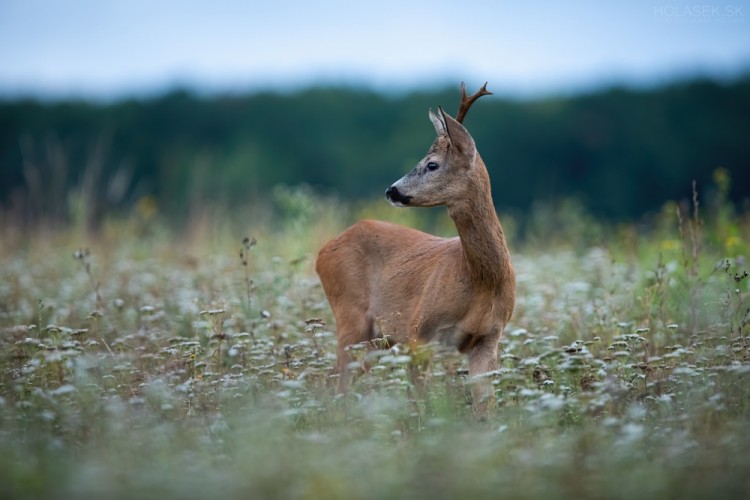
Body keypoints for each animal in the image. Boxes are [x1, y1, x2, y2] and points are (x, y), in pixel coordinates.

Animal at [318, 81, 516, 402]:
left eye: (432, 164)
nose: (391, 191)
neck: (480, 281)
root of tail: (322, 251)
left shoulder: (489, 337)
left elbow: (485, 404)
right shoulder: (418, 331)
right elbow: (418, 402)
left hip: (377, 339)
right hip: (350, 315)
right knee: (338, 383)